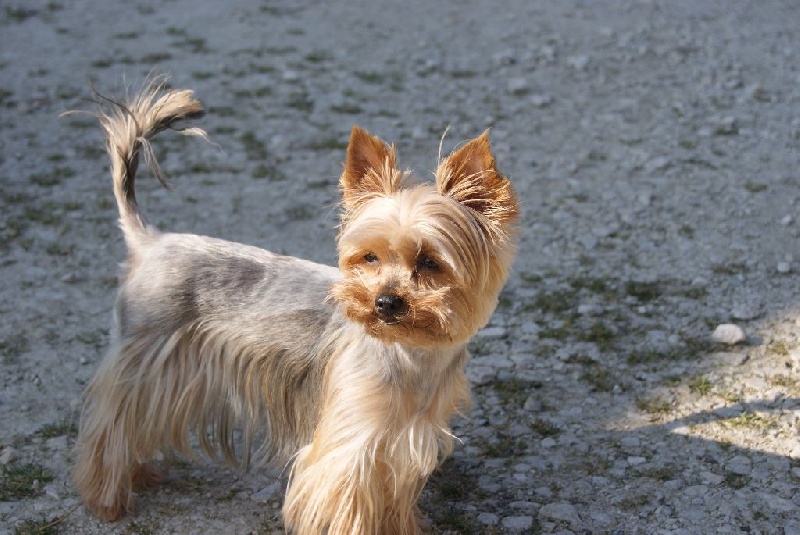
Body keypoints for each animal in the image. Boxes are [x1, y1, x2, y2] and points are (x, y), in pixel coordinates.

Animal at [71, 78, 519, 534]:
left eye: (430, 262)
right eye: (370, 257)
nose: (385, 302)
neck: (410, 352)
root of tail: (149, 241)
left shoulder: (405, 441)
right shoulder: (351, 445)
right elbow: (349, 506)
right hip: (142, 361)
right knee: (110, 426)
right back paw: (106, 500)